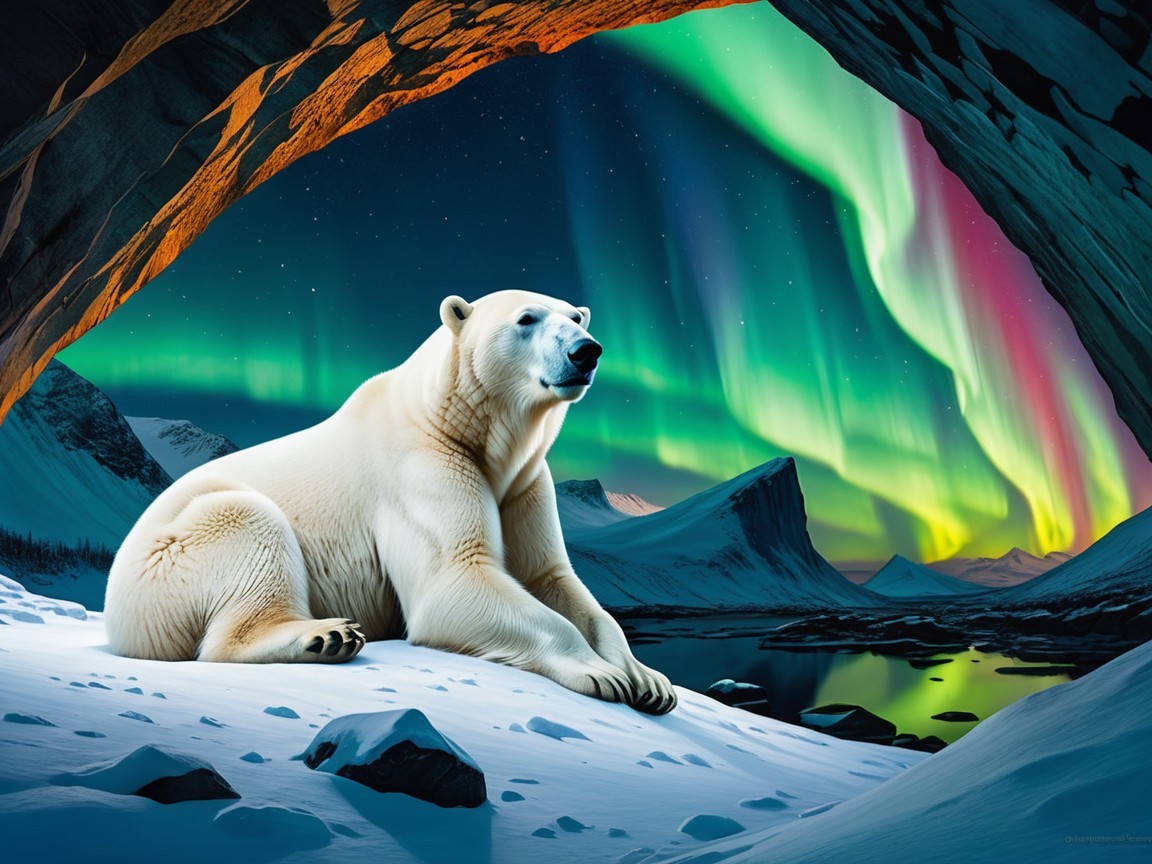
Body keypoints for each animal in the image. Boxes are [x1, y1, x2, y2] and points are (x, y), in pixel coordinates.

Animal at [104, 290, 677, 714]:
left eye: (574, 316)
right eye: (526, 319)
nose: (587, 351)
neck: (455, 421)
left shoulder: (525, 480)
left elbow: (552, 578)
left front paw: (648, 678)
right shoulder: (423, 469)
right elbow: (456, 579)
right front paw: (601, 673)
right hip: (170, 559)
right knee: (247, 526)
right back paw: (326, 636)